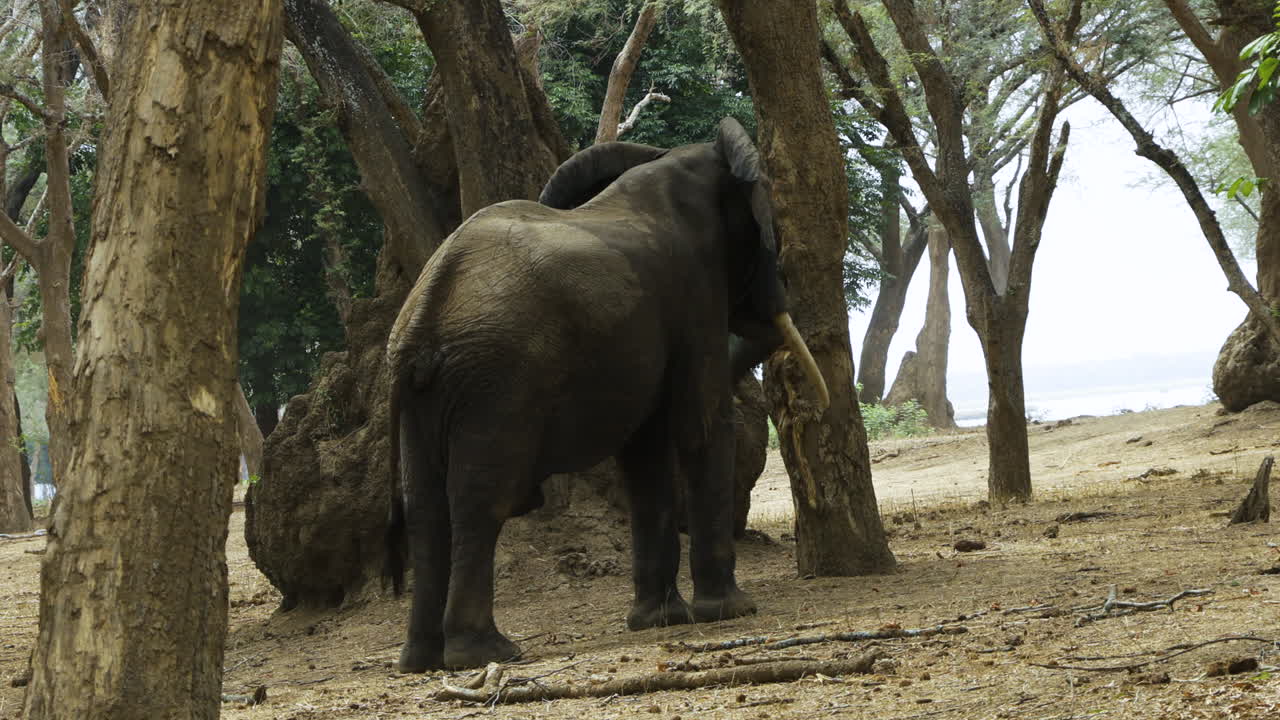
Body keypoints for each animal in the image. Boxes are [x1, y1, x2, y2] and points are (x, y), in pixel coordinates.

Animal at [383, 117, 829, 672]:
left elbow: (645, 454)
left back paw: (420, 661)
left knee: (426, 510)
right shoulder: (696, 289)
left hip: (426, 397)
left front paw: (660, 621)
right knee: (480, 501)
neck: (676, 159)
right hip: (496, 384)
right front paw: (731, 612)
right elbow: (700, 426)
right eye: (766, 236)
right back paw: (488, 653)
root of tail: (425, 312)